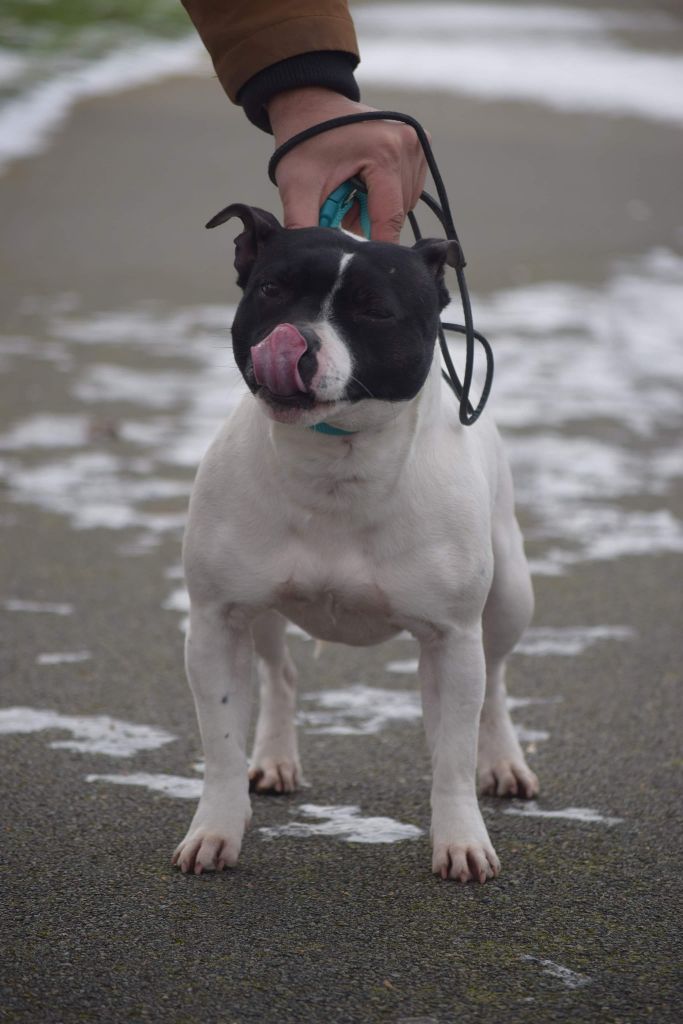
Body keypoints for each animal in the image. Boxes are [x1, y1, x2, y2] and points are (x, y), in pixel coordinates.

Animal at [172, 205, 540, 880]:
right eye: (271, 290)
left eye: (375, 310)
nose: (294, 339)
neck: (335, 461)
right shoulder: (215, 621)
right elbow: (222, 744)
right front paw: (215, 828)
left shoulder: (451, 639)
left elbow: (452, 756)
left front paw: (462, 841)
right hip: (260, 614)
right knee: (280, 672)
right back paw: (275, 758)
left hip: (508, 596)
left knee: (496, 680)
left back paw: (503, 760)